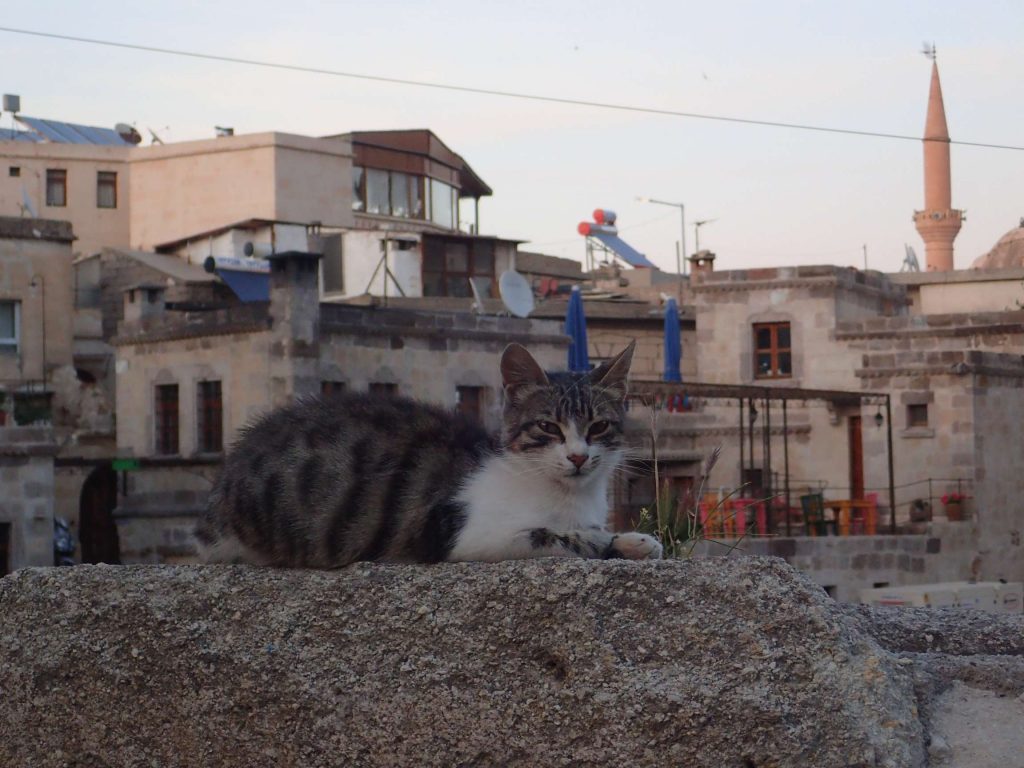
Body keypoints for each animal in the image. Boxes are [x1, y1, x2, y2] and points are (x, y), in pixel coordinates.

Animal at [195, 342, 663, 565]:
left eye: (598, 427)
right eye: (548, 427)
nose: (579, 457)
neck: (566, 497)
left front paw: (633, 541)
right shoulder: (463, 533)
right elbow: (555, 536)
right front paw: (602, 540)